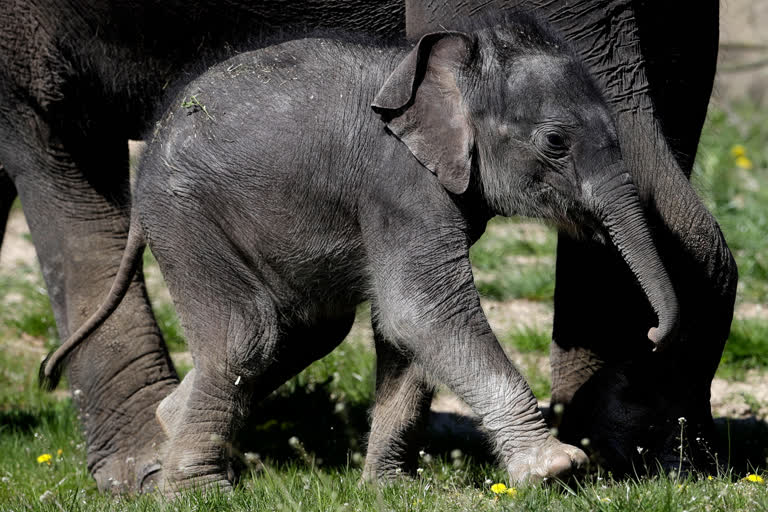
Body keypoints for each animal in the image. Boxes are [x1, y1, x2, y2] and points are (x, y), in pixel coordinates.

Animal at [0, 0, 732, 492]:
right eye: (555, 142)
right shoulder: (399, 185)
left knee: (302, 330)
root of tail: (149, 155)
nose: (656, 331)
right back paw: (195, 490)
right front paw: (554, 467)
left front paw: (390, 488)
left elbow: (401, 328)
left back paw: (174, 421)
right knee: (248, 336)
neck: (451, 70)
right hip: (188, 217)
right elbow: (422, 311)